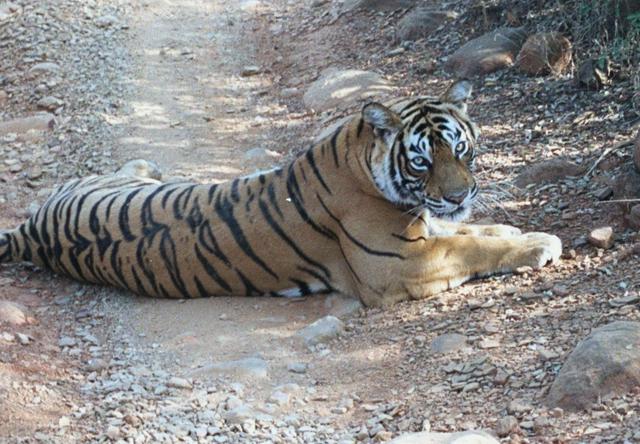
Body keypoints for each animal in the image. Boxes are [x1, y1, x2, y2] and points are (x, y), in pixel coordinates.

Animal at [0, 81, 560, 306]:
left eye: (461, 148)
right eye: (422, 160)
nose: (460, 194)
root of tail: (29, 233)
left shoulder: (427, 226)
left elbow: (470, 229)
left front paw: (509, 226)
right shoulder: (399, 263)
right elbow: (472, 245)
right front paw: (539, 243)